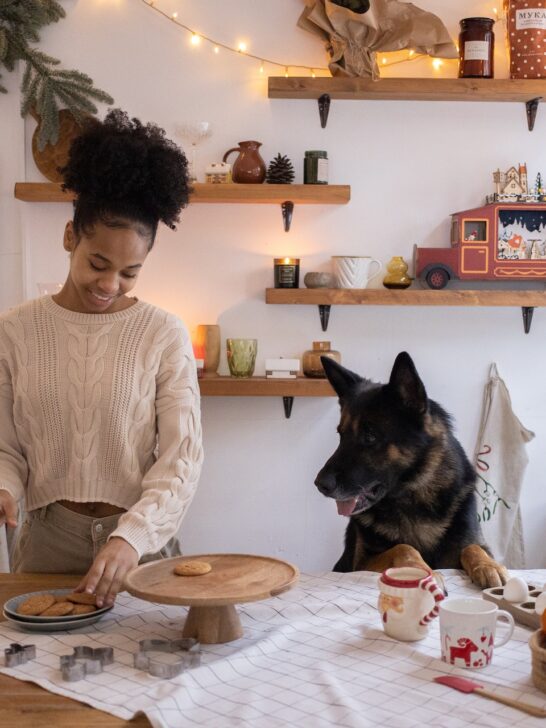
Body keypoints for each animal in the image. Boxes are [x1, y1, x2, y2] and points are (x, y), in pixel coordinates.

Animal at [312, 350, 508, 588]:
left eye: (370, 436)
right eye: (341, 435)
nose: (320, 484)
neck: (415, 495)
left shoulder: (470, 543)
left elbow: (473, 547)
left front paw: (488, 566)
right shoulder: (362, 561)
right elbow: (403, 547)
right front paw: (422, 571)